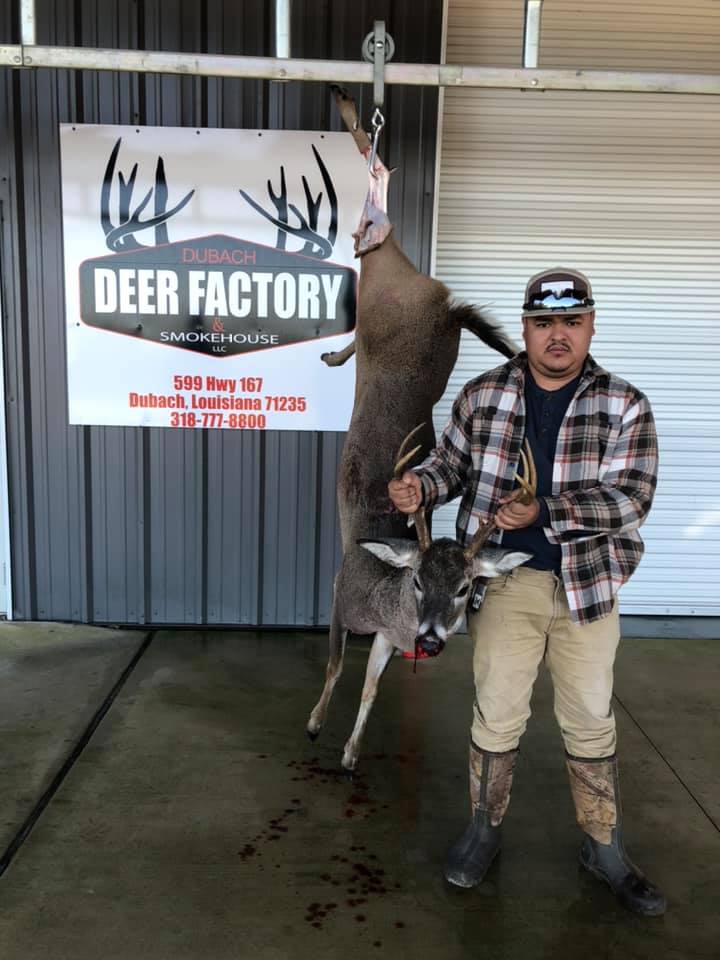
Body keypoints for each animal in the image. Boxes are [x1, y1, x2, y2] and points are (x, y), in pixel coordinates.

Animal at [305, 86, 533, 772]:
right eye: (416, 579)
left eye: (465, 587)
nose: (430, 640)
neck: (385, 597)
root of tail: (446, 308)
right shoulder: (338, 595)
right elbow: (334, 666)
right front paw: (315, 724)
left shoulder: (382, 635)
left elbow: (371, 688)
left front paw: (350, 752)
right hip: (392, 299)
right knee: (375, 200)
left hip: (389, 296)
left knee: (376, 201)